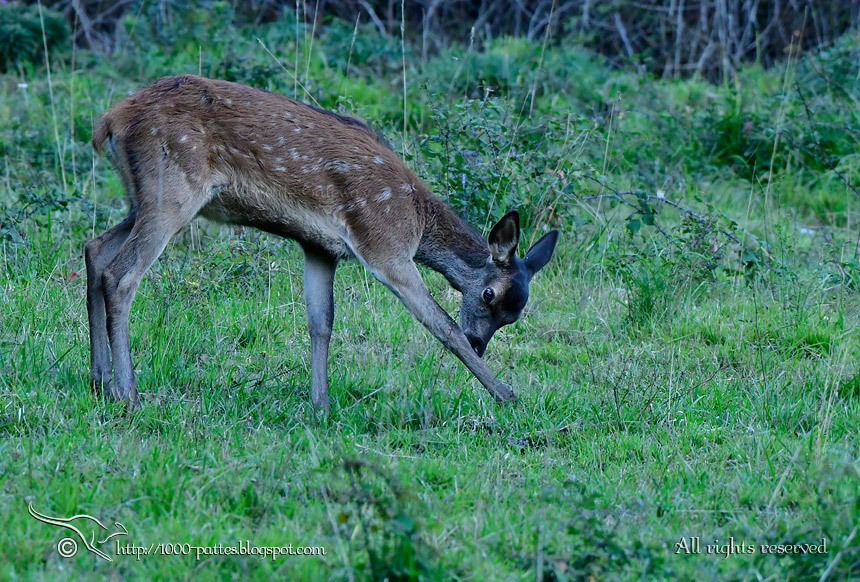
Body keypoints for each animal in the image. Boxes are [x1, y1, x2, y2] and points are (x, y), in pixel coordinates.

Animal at [86, 75, 559, 413]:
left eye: (514, 315)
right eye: (489, 293)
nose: (480, 343)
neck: (416, 219)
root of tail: (110, 120)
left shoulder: (320, 248)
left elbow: (321, 322)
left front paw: (320, 405)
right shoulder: (384, 244)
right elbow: (441, 325)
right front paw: (507, 394)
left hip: (142, 197)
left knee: (95, 250)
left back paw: (98, 381)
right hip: (173, 187)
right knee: (122, 275)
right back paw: (128, 393)